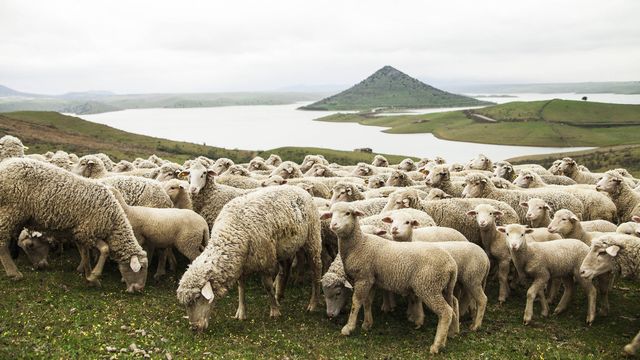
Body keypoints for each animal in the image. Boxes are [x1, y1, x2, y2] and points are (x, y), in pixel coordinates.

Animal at [0, 159, 148, 292]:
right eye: (140, 269)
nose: (139, 289)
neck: (113, 221)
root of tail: (4, 166)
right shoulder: (88, 231)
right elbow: (104, 250)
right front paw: (93, 276)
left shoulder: (80, 232)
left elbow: (85, 254)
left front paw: (88, 277)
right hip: (10, 210)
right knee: (2, 242)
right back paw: (14, 273)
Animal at [175, 187, 322, 330]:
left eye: (198, 298)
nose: (194, 328)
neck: (231, 232)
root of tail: (301, 189)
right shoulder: (240, 263)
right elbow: (241, 287)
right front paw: (241, 312)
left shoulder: (265, 261)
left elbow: (268, 287)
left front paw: (274, 311)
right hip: (286, 247)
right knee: (285, 268)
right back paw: (280, 295)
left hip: (312, 238)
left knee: (316, 270)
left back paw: (313, 304)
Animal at [322, 202, 458, 354]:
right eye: (331, 214)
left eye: (348, 213)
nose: (333, 225)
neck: (359, 244)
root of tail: (451, 264)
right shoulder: (371, 279)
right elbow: (367, 302)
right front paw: (367, 324)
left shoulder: (363, 278)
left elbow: (356, 302)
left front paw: (348, 328)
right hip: (443, 288)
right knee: (452, 307)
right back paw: (447, 338)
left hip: (429, 287)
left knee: (446, 312)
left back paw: (436, 345)